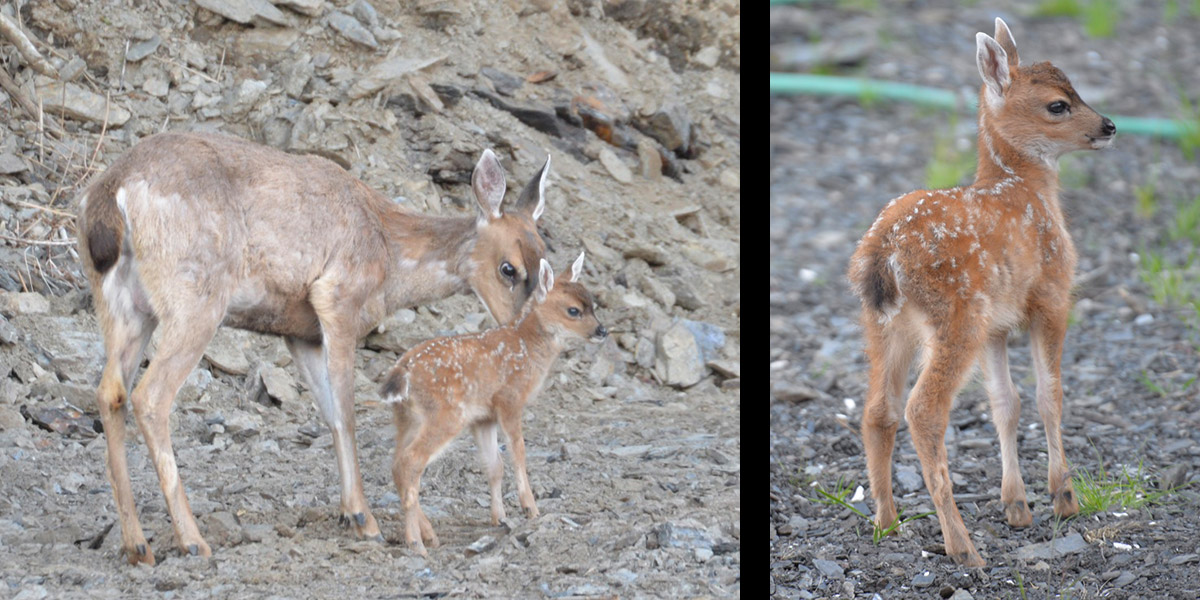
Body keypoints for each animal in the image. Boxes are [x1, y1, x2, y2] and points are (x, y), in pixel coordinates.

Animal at [77, 130, 554, 561]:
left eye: (544, 258)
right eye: (508, 268)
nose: (522, 327)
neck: (388, 252)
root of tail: (113, 192)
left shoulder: (299, 330)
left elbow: (330, 416)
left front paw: (379, 519)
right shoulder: (338, 299)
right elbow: (348, 412)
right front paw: (367, 520)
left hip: (124, 305)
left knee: (111, 393)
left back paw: (136, 544)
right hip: (196, 295)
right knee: (150, 396)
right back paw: (192, 540)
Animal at [844, 16, 1113, 564]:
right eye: (1059, 103)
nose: (1109, 126)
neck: (1025, 188)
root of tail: (882, 252)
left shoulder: (997, 325)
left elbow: (1005, 403)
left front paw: (1017, 507)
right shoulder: (1052, 295)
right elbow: (1049, 393)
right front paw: (1063, 497)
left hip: (883, 323)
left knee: (878, 410)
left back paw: (887, 521)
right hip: (955, 315)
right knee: (922, 411)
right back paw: (962, 547)